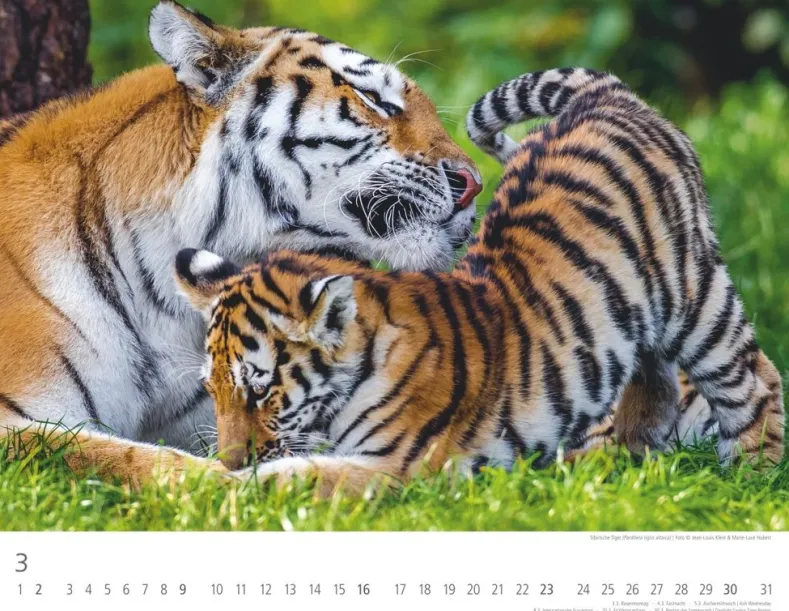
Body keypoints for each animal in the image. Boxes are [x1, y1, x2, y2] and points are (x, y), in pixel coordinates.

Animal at [175, 67, 785, 496]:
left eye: (261, 389)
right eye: (213, 389)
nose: (231, 455)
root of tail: (603, 96)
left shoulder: (397, 465)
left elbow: (284, 478)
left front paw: (215, 489)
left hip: (693, 292)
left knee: (757, 379)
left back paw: (752, 477)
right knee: (654, 387)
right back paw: (626, 472)